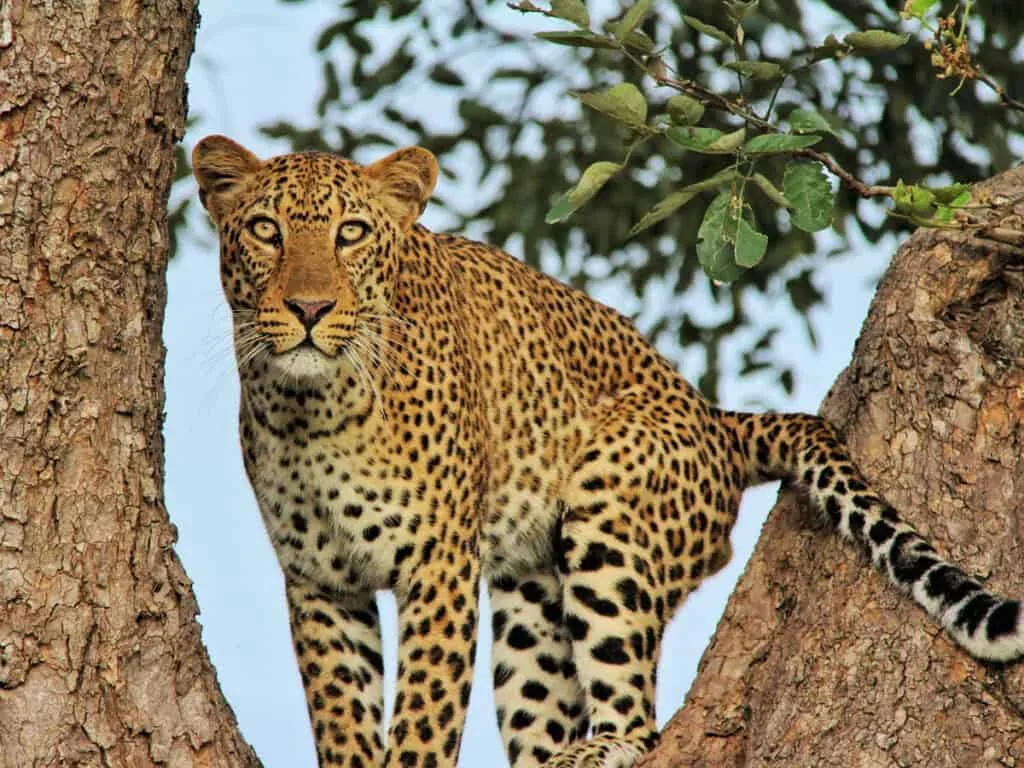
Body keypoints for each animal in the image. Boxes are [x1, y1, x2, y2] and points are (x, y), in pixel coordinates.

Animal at [191, 134, 1024, 768]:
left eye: (351, 234)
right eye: (265, 230)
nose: (309, 308)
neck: (313, 408)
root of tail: (714, 419)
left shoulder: (438, 567)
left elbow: (424, 717)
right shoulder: (318, 581)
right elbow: (342, 715)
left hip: (609, 518)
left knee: (635, 718)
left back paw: (595, 751)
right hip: (530, 594)